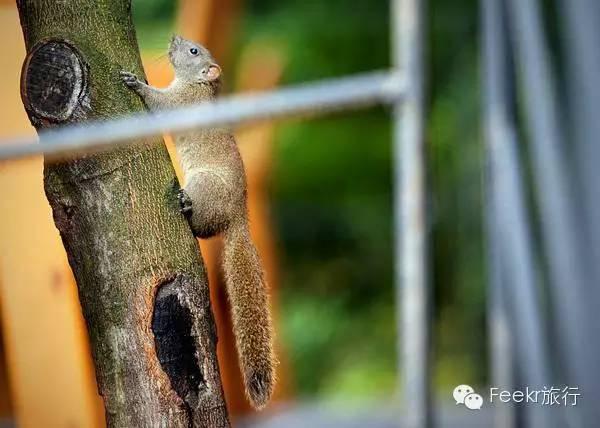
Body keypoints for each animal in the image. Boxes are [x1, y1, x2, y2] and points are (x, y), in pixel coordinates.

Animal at [120, 35, 276, 410]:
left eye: (193, 52)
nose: (174, 39)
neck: (199, 87)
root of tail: (238, 218)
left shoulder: (179, 103)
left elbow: (159, 103)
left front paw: (137, 84)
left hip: (205, 187)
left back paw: (186, 203)